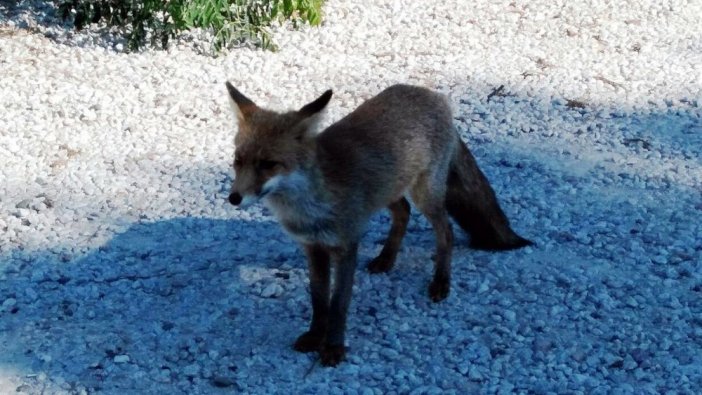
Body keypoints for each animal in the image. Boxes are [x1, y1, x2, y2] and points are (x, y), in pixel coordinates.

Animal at [227, 83, 532, 368]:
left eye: (269, 164)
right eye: (238, 161)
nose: (233, 198)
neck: (309, 206)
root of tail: (431, 95)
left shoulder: (346, 245)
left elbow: (338, 304)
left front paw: (333, 347)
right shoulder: (313, 248)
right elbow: (318, 299)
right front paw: (315, 336)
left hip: (425, 195)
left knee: (446, 231)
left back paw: (441, 281)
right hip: (388, 191)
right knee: (404, 213)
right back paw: (387, 259)